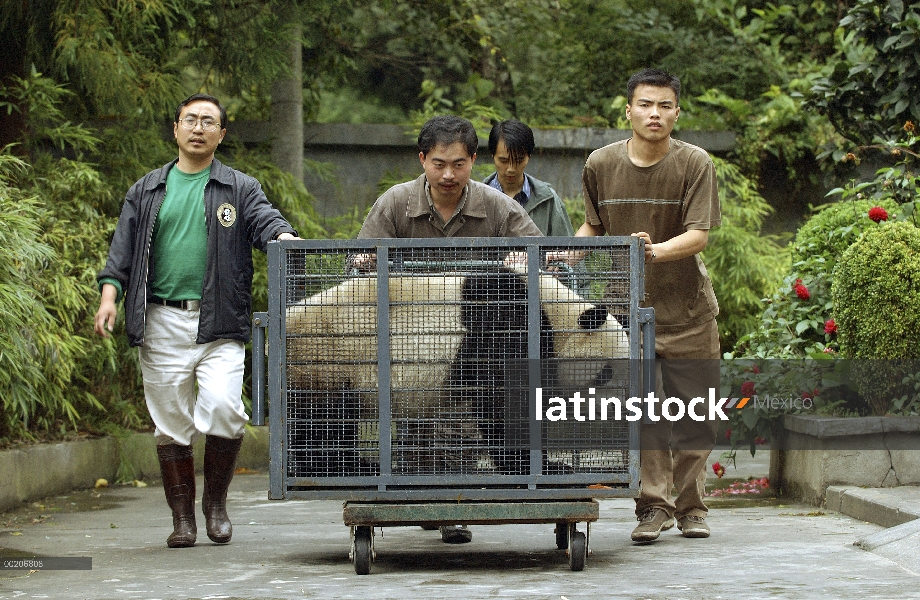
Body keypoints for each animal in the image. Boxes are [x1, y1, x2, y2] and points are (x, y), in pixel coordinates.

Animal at [286, 268, 632, 478]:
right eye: (605, 374)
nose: (616, 408)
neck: (555, 315)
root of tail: (288, 321)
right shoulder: (506, 331)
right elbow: (503, 406)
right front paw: (540, 466)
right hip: (328, 358)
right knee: (324, 425)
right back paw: (345, 467)